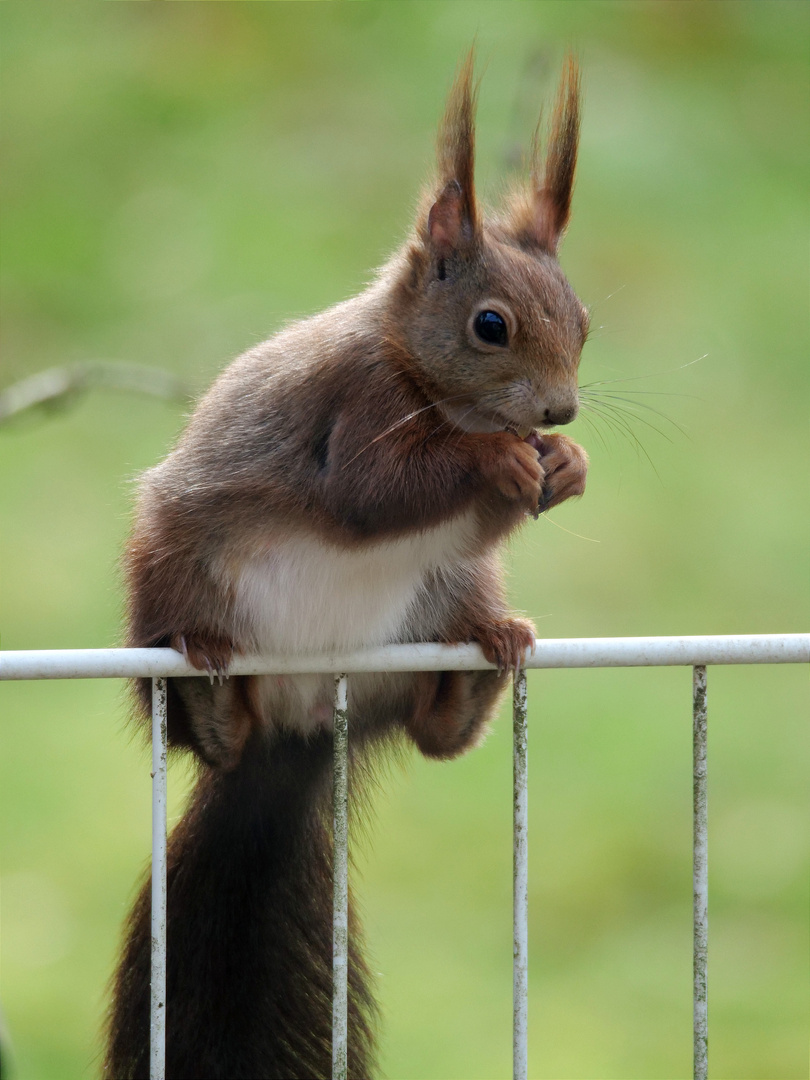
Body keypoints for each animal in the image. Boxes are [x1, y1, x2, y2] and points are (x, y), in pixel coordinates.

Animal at [104, 52, 591, 1080]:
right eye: (491, 325)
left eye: (583, 318)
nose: (561, 412)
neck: (426, 383)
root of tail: (295, 730)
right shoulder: (351, 410)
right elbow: (374, 493)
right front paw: (498, 461)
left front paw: (566, 466)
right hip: (169, 574)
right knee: (203, 736)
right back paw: (209, 689)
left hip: (434, 609)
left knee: (436, 731)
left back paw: (489, 655)